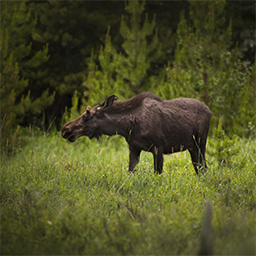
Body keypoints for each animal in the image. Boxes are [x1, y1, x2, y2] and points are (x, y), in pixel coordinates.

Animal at [61, 91, 212, 174]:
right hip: (192, 147)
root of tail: (210, 111)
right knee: (199, 169)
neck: (127, 127)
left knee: (204, 168)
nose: (65, 130)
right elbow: (130, 171)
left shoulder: (158, 147)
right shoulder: (134, 148)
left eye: (85, 116)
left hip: (200, 143)